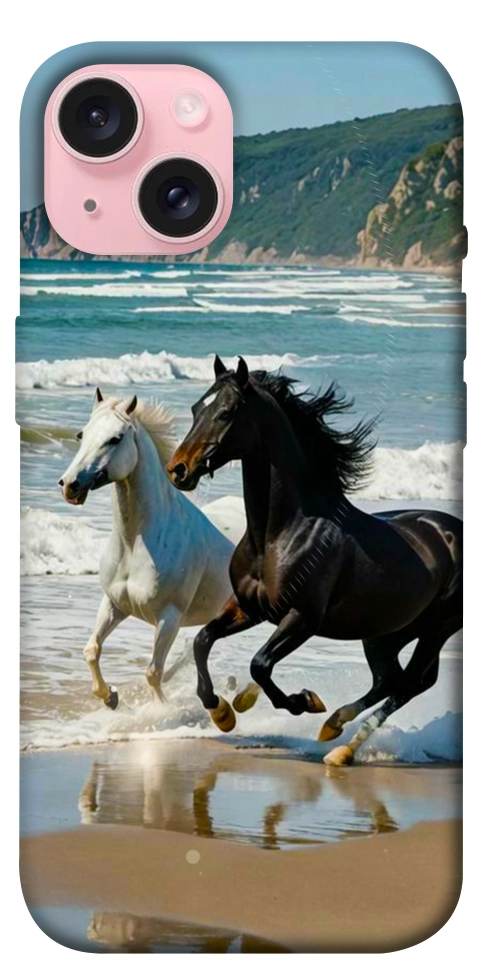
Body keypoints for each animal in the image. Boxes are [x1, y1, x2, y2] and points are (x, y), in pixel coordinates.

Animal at [59, 388, 234, 709]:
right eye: (81, 434)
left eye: (115, 438)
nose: (69, 485)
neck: (135, 544)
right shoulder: (114, 604)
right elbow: (91, 650)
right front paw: (110, 697)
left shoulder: (169, 618)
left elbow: (153, 672)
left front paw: (161, 711)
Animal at [166, 356, 463, 765]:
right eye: (197, 408)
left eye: (225, 413)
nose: (177, 469)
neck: (280, 534)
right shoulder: (248, 608)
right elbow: (202, 640)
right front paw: (223, 711)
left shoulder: (302, 618)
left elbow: (260, 664)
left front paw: (302, 701)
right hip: (386, 632)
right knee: (390, 679)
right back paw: (334, 729)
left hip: (437, 628)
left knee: (410, 683)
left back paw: (341, 746)